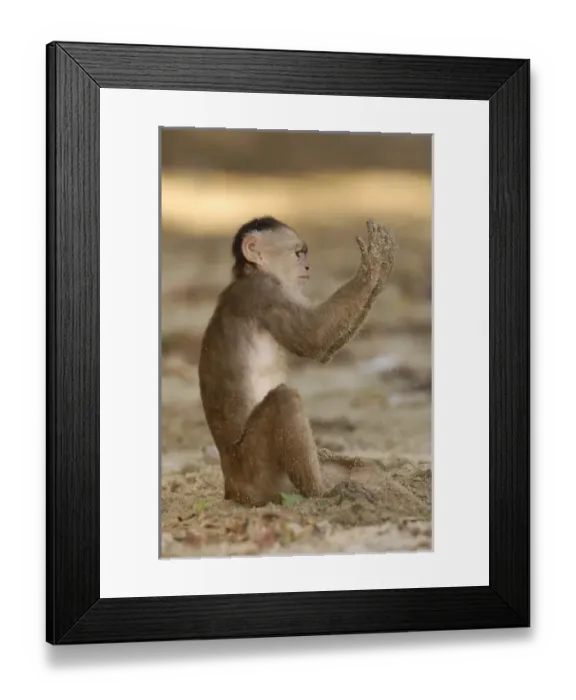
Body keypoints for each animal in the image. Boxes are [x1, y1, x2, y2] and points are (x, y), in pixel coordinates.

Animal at [198, 216, 397, 507]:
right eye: (298, 253)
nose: (307, 266)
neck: (250, 274)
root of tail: (231, 488)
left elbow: (322, 347)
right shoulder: (265, 291)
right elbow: (315, 339)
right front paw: (374, 267)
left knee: (364, 469)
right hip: (255, 473)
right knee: (285, 399)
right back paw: (321, 495)